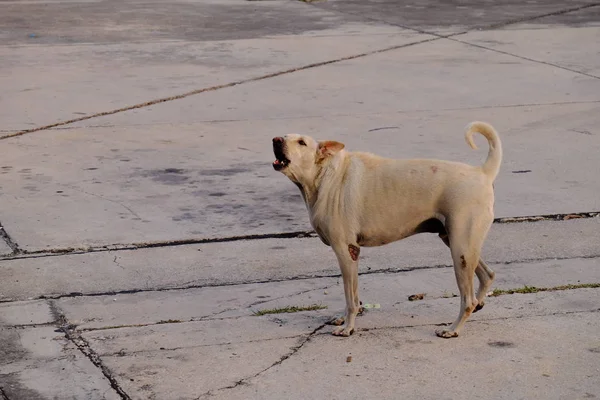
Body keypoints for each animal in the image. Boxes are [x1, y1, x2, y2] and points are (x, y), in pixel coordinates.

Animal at [272, 121, 502, 338]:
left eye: (302, 142)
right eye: (283, 136)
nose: (275, 140)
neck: (324, 175)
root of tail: (482, 173)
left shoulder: (346, 251)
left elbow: (350, 298)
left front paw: (348, 327)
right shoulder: (352, 255)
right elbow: (354, 294)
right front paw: (345, 318)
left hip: (461, 249)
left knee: (467, 299)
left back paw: (453, 328)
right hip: (458, 243)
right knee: (487, 275)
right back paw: (478, 304)